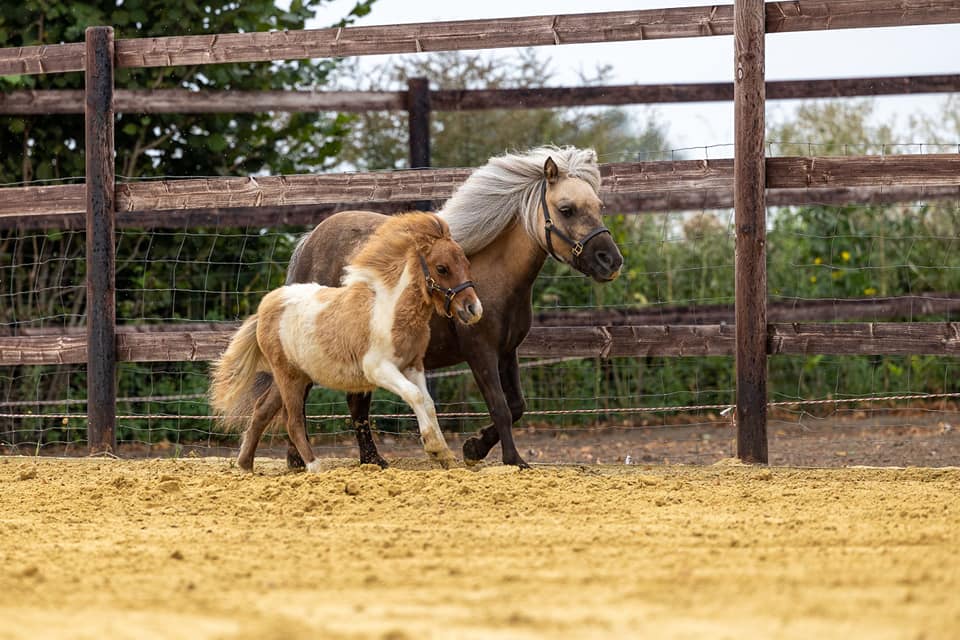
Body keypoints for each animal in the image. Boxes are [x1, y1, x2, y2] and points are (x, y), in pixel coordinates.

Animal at [210, 212, 480, 468]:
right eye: (442, 268)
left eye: (467, 262)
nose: (473, 309)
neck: (388, 308)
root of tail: (265, 307)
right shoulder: (378, 369)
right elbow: (414, 396)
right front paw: (433, 447)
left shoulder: (413, 366)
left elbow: (428, 402)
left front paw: (444, 455)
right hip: (290, 377)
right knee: (293, 420)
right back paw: (314, 466)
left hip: (293, 375)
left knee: (262, 411)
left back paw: (246, 465)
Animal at [284, 148, 624, 470]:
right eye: (567, 209)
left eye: (599, 207)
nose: (611, 261)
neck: (492, 272)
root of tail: (309, 240)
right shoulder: (480, 351)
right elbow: (500, 407)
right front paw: (511, 459)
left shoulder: (507, 351)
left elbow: (517, 405)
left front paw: (474, 448)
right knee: (297, 397)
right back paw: (301, 459)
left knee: (352, 402)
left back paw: (368, 460)